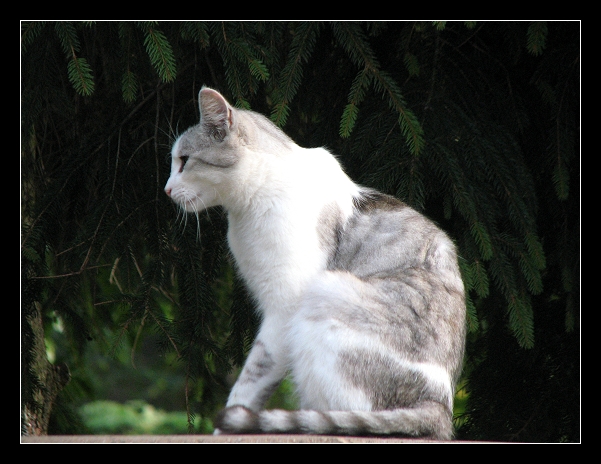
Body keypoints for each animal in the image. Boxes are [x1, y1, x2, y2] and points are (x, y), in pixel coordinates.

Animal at [165, 87, 468, 438]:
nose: (166, 190)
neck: (244, 209)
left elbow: (249, 382)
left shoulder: (283, 309)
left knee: (347, 418)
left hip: (327, 292)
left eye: (184, 161)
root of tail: (439, 407)